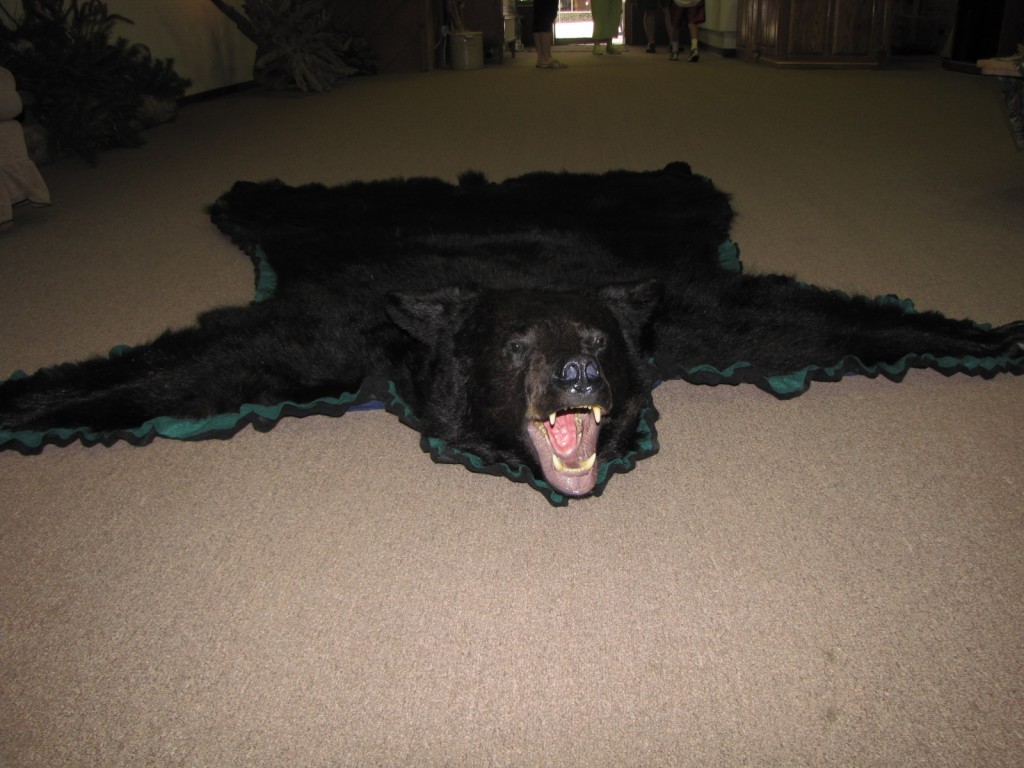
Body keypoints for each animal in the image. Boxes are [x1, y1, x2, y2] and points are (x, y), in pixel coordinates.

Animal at [1, 163, 1022, 504]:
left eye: (601, 344)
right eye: (518, 348)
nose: (575, 372)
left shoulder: (692, 319)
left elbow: (797, 318)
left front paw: (994, 334)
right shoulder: (339, 333)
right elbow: (210, 363)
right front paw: (32, 398)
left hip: (657, 216)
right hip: (319, 229)